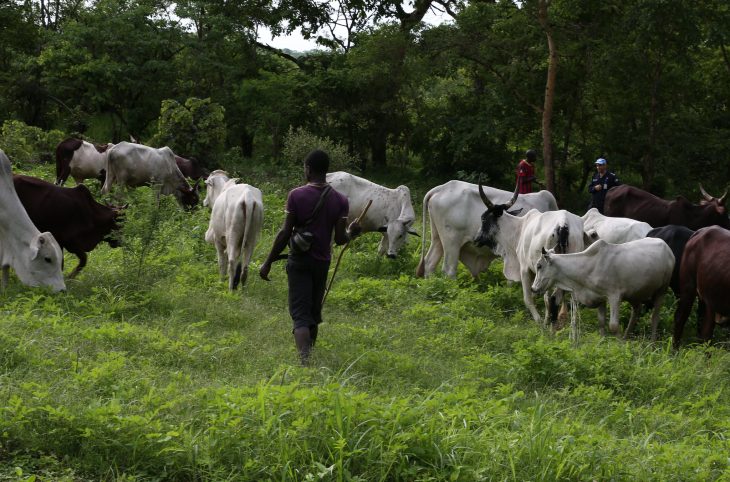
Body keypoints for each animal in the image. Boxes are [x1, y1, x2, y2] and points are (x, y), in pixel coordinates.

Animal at [528, 238, 672, 338]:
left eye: (539, 266)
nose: (533, 288)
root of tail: (666, 246)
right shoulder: (600, 298)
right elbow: (601, 323)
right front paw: (602, 343)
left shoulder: (614, 296)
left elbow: (613, 326)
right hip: (635, 294)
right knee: (636, 312)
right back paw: (626, 337)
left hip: (662, 290)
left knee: (655, 317)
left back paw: (652, 343)